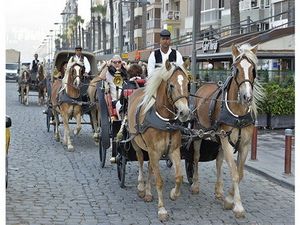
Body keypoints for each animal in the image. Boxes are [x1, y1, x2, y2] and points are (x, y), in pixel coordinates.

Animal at [126, 59, 190, 221]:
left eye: (187, 84)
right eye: (171, 85)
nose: (185, 112)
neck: (166, 122)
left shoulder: (174, 150)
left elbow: (178, 176)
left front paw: (174, 194)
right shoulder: (154, 151)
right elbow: (159, 181)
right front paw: (162, 209)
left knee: (150, 168)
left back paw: (148, 193)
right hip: (136, 143)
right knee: (141, 161)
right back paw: (141, 187)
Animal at [191, 44, 264, 218]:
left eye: (253, 70)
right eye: (236, 69)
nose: (246, 97)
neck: (238, 113)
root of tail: (203, 85)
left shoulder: (244, 144)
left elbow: (240, 172)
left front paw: (229, 199)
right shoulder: (226, 141)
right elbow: (234, 172)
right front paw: (237, 206)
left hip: (219, 139)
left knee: (218, 161)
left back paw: (218, 191)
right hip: (198, 132)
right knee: (195, 158)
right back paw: (195, 185)